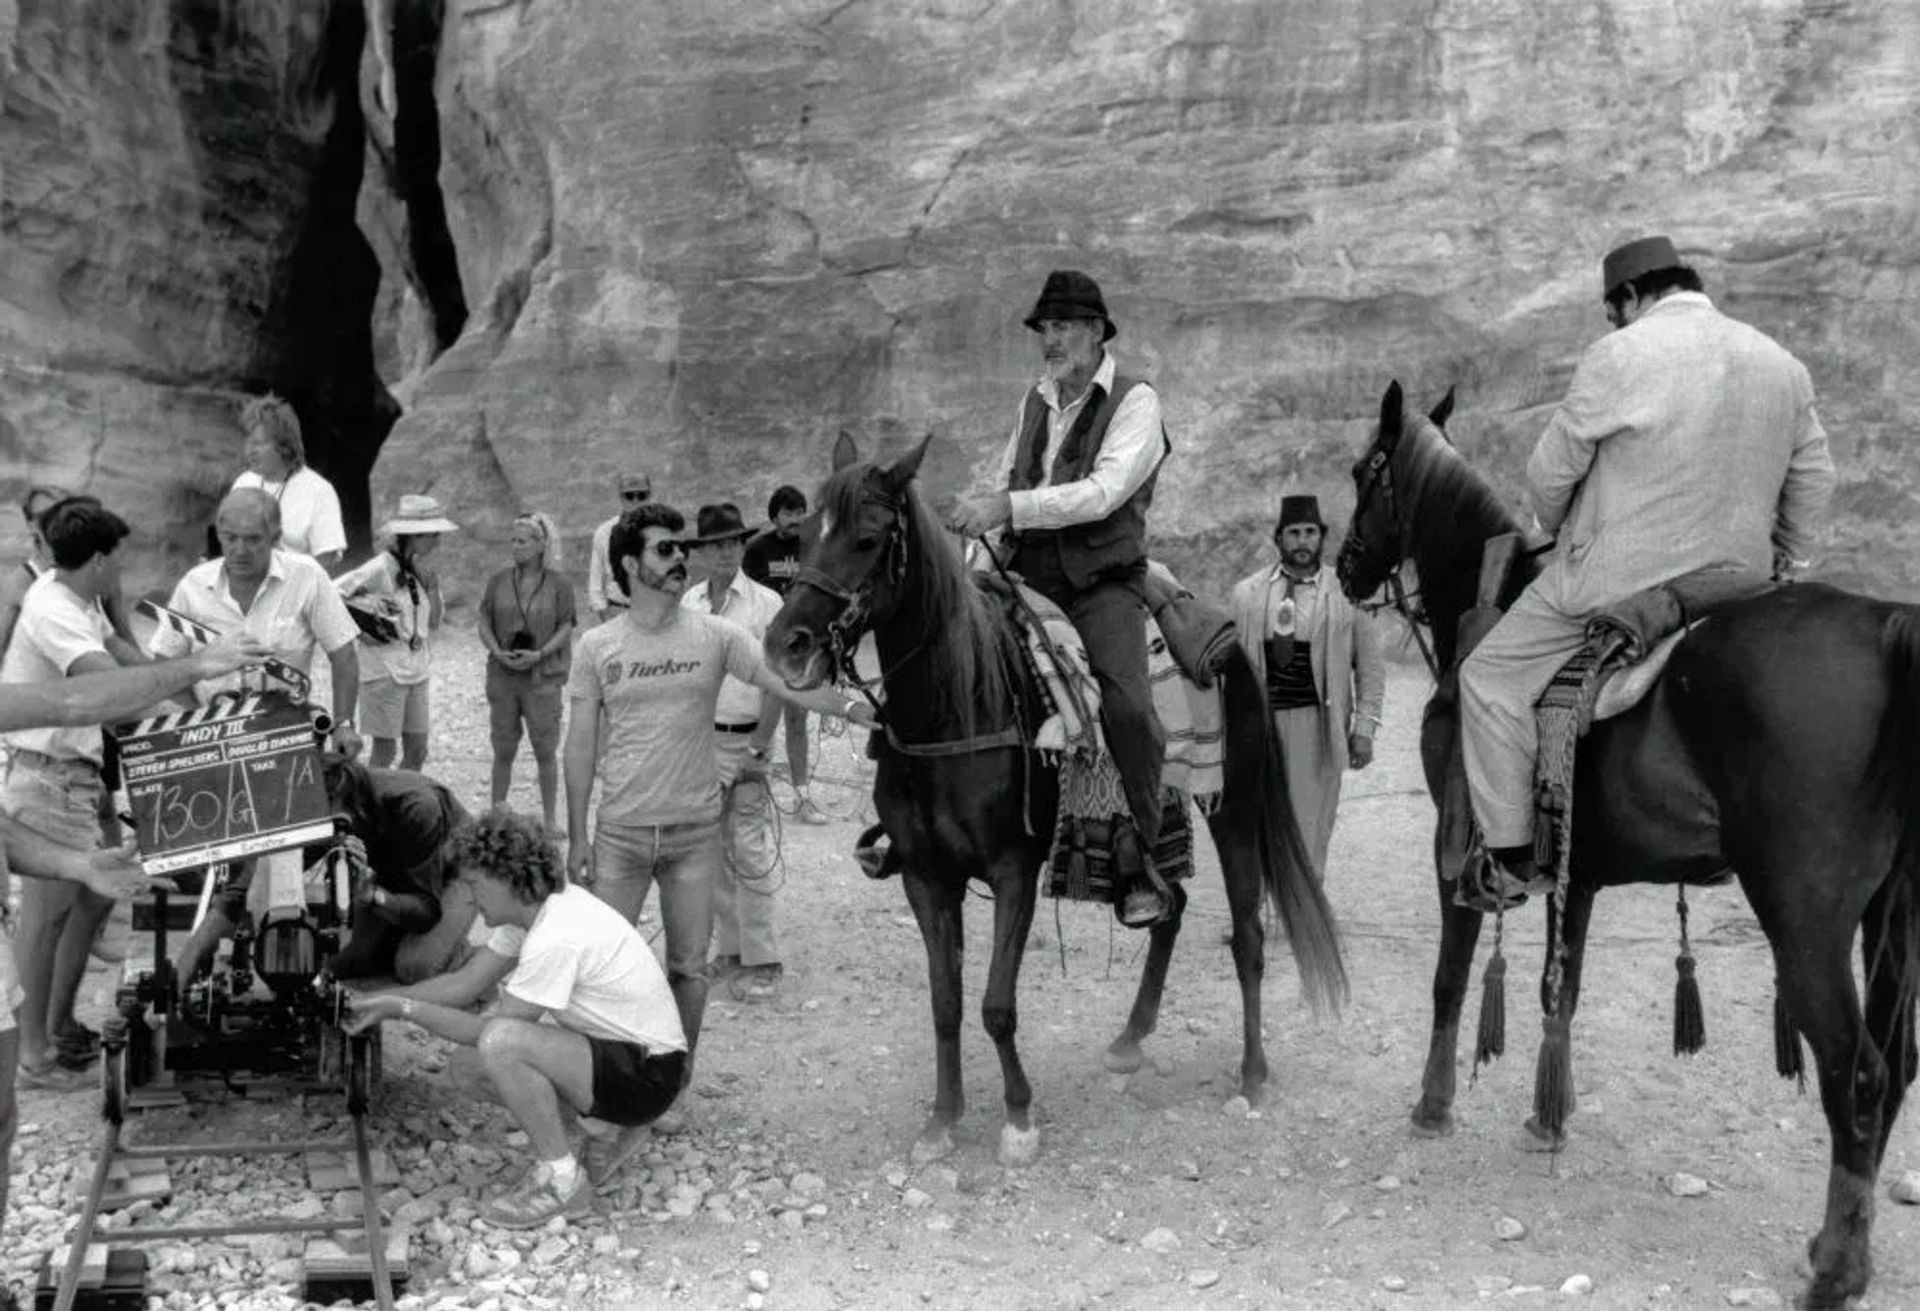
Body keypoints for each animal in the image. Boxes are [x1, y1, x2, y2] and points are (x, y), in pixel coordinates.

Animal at [756, 429, 1344, 1167]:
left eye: (866, 538)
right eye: (804, 536)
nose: (785, 645)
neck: (959, 706)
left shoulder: (1013, 870)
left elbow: (995, 1003)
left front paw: (1018, 1118)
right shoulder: (925, 876)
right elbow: (945, 1003)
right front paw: (942, 1120)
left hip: (1233, 809)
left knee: (1249, 937)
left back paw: (1252, 1074)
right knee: (1171, 907)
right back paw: (1130, 1038)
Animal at [1344, 376, 1920, 1305]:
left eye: (1366, 471)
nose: (1344, 564)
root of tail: (1887, 626)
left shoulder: (1452, 849)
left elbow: (1450, 979)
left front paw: (1433, 1106)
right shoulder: (1573, 873)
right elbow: (1561, 990)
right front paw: (1549, 1114)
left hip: (1806, 916)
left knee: (1857, 1072)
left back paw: (1835, 1268)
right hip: (1893, 911)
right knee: (1897, 1064)